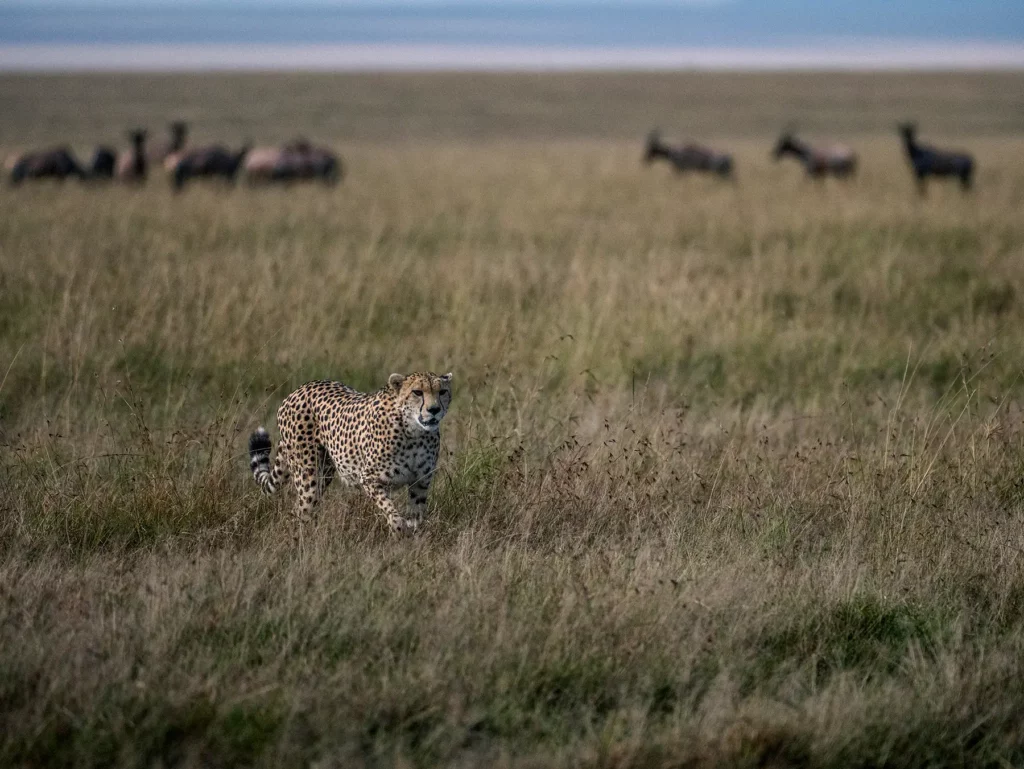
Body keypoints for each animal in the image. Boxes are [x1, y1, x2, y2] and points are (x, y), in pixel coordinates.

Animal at [248, 371, 452, 534]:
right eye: (417, 392)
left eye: (442, 392)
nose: (434, 410)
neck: (414, 432)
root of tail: (299, 389)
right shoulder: (370, 478)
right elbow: (391, 511)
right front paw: (399, 529)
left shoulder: (421, 481)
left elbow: (417, 516)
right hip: (308, 475)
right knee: (301, 510)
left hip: (325, 472)